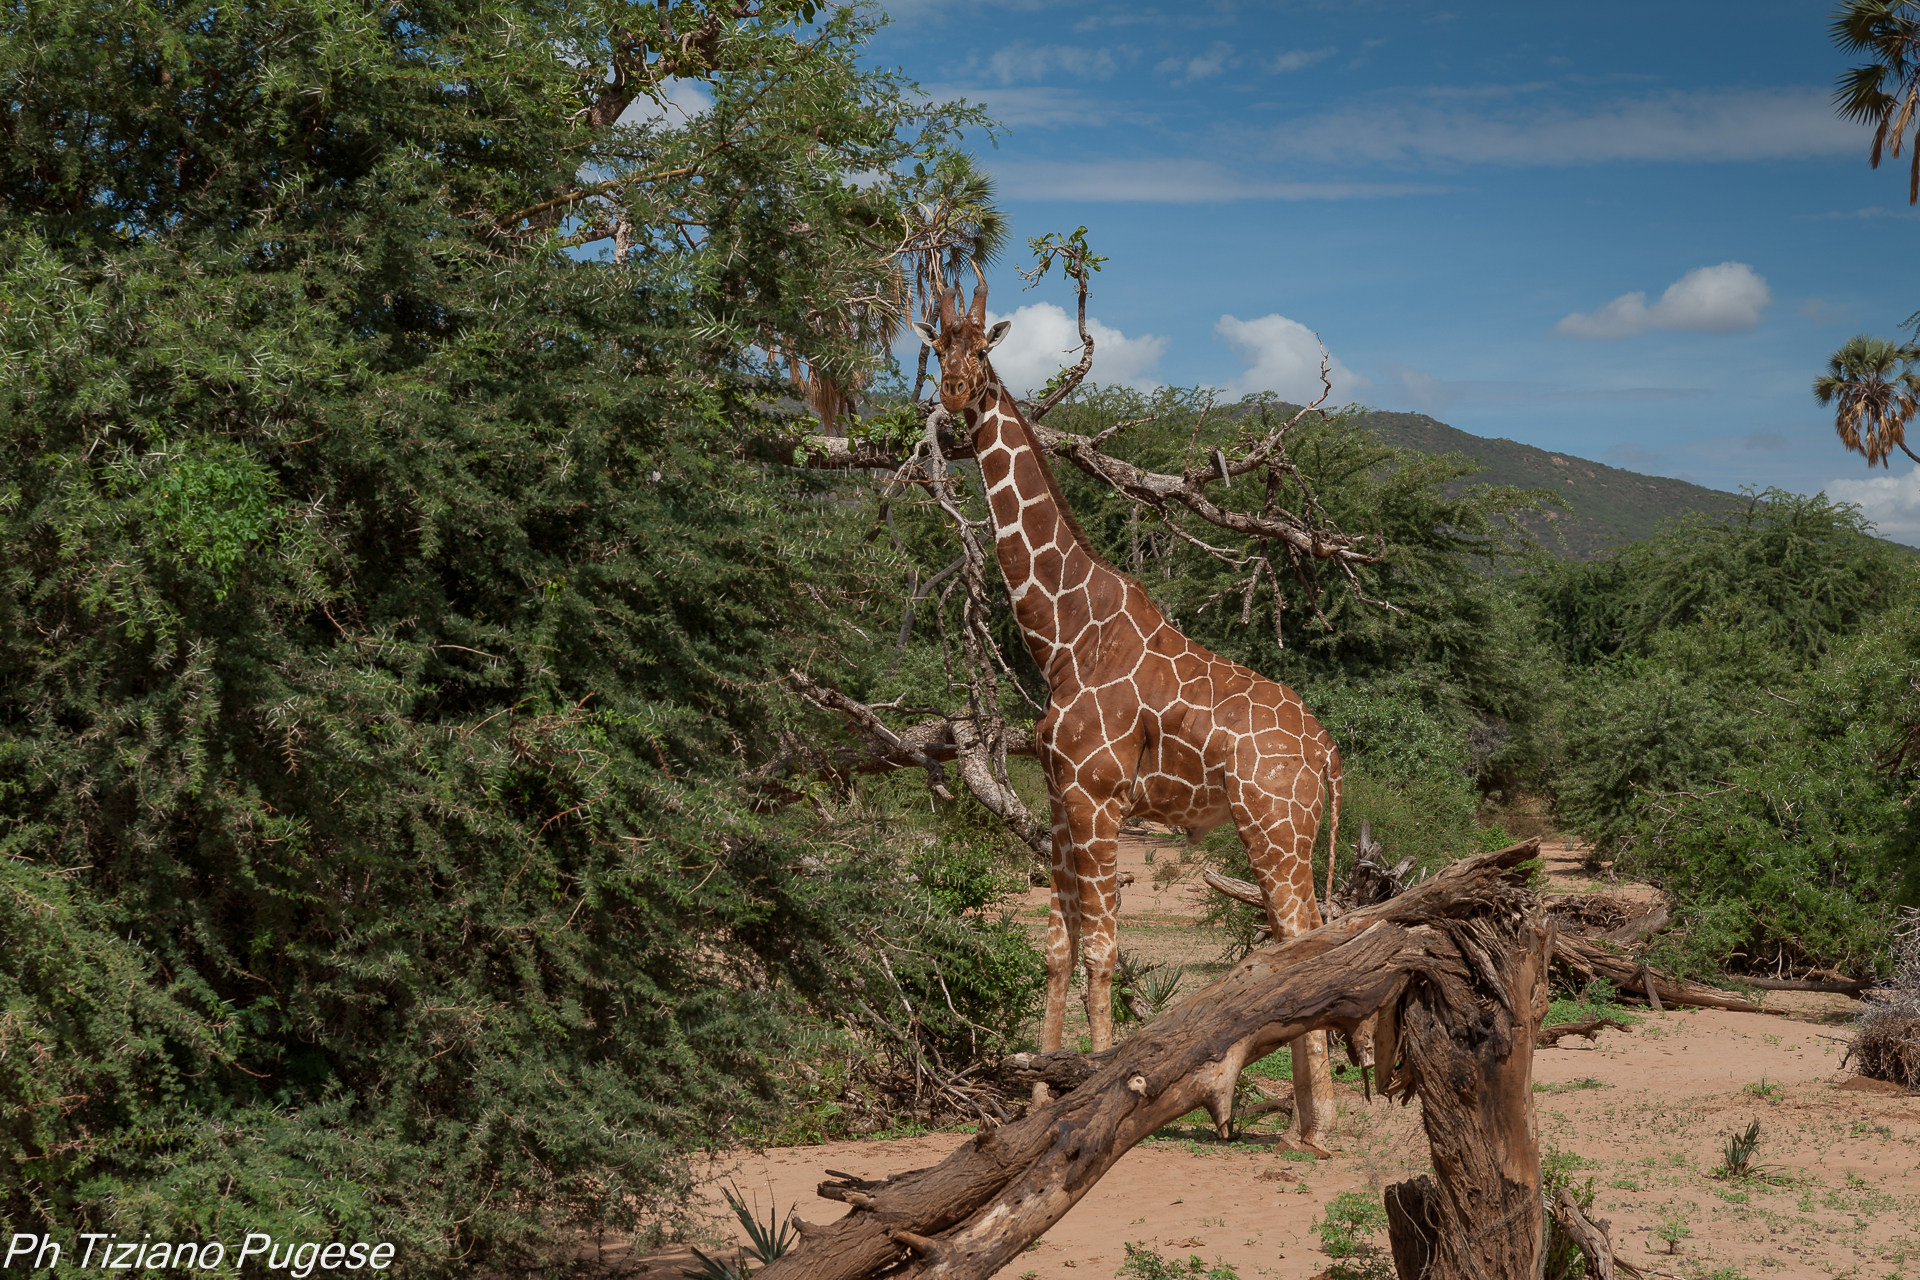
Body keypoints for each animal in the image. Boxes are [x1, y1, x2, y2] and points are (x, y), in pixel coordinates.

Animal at [910, 273, 1346, 1149]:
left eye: (982, 351)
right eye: (936, 349)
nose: (957, 397)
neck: (1063, 635)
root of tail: (1325, 748)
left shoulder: (1099, 797)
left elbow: (1103, 951)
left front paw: (1099, 1095)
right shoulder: (1058, 795)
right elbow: (1055, 948)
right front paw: (1037, 1102)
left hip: (1273, 827)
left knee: (1298, 935)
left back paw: (1317, 1129)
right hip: (1288, 831)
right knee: (1297, 936)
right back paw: (1303, 1121)